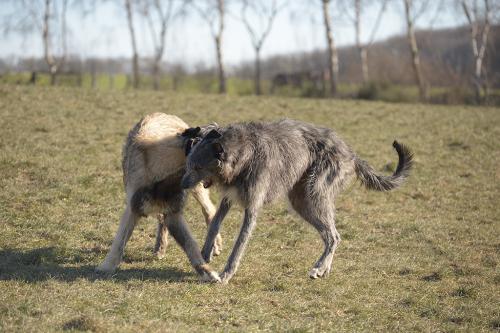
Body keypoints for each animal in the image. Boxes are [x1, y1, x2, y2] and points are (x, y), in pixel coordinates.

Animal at [182, 118, 412, 282]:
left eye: (198, 167)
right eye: (189, 164)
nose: (182, 185)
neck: (243, 151)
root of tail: (351, 153)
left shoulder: (252, 207)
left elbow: (240, 243)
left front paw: (227, 273)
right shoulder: (228, 198)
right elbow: (214, 223)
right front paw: (204, 255)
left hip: (316, 192)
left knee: (333, 236)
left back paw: (319, 267)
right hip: (301, 201)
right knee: (332, 235)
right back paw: (324, 268)